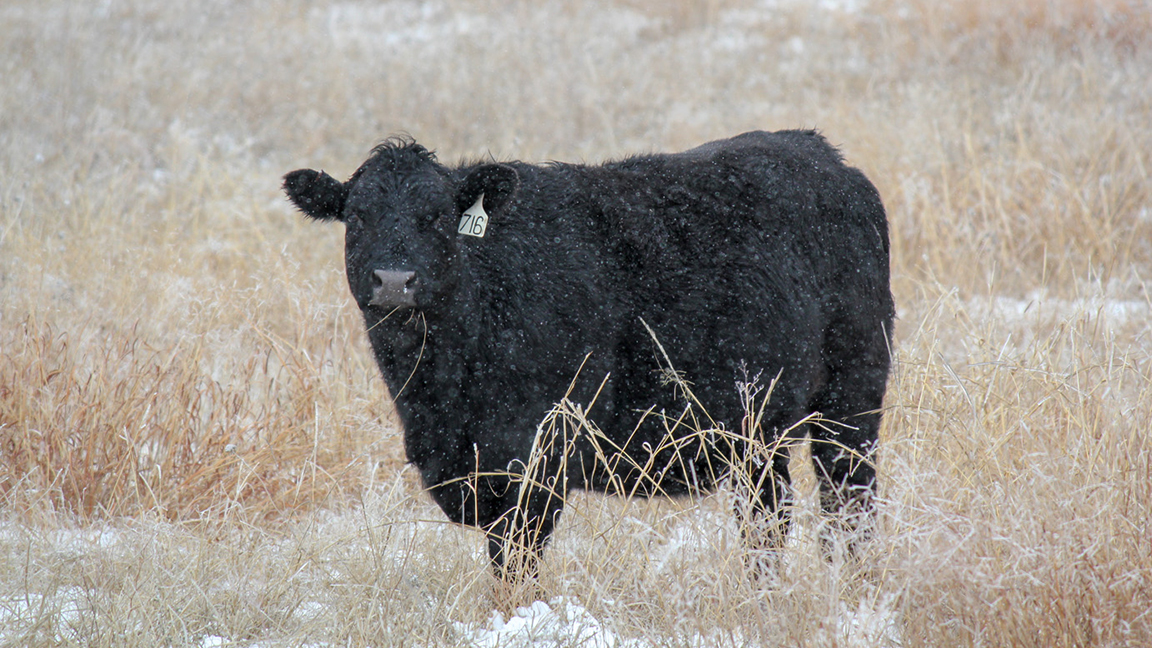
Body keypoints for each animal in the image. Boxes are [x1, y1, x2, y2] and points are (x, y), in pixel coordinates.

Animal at [283, 130, 894, 581]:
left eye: (435, 217)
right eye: (357, 217)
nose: (394, 280)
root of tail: (823, 154)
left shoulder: (535, 460)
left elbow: (516, 568)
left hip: (853, 397)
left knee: (847, 504)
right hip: (759, 428)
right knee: (769, 515)